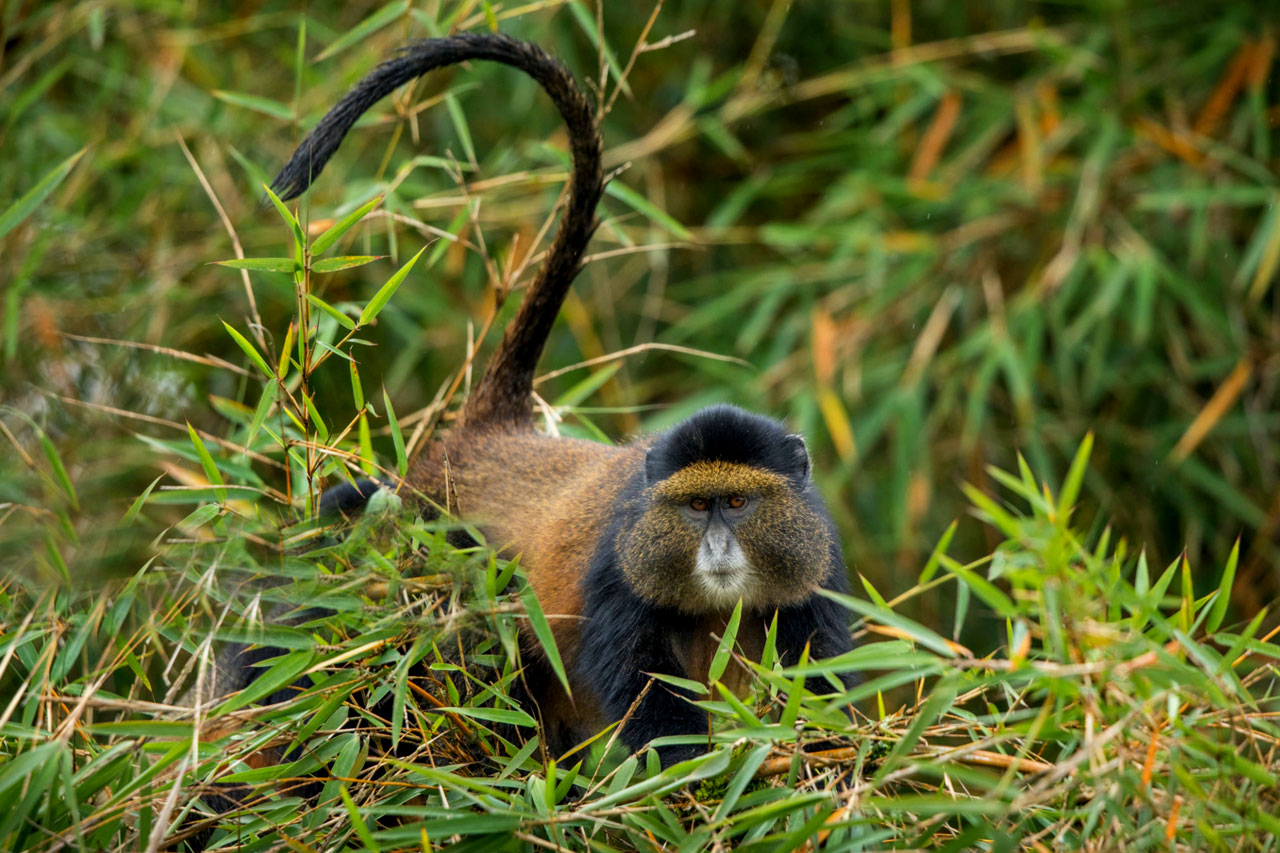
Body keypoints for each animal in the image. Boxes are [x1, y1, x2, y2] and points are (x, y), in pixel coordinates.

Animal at [196, 29, 856, 781]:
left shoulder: (816, 563)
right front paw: (695, 769)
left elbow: (819, 672)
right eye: (696, 506)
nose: (717, 544)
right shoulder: (616, 571)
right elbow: (643, 686)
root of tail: (489, 434)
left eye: (738, 502)